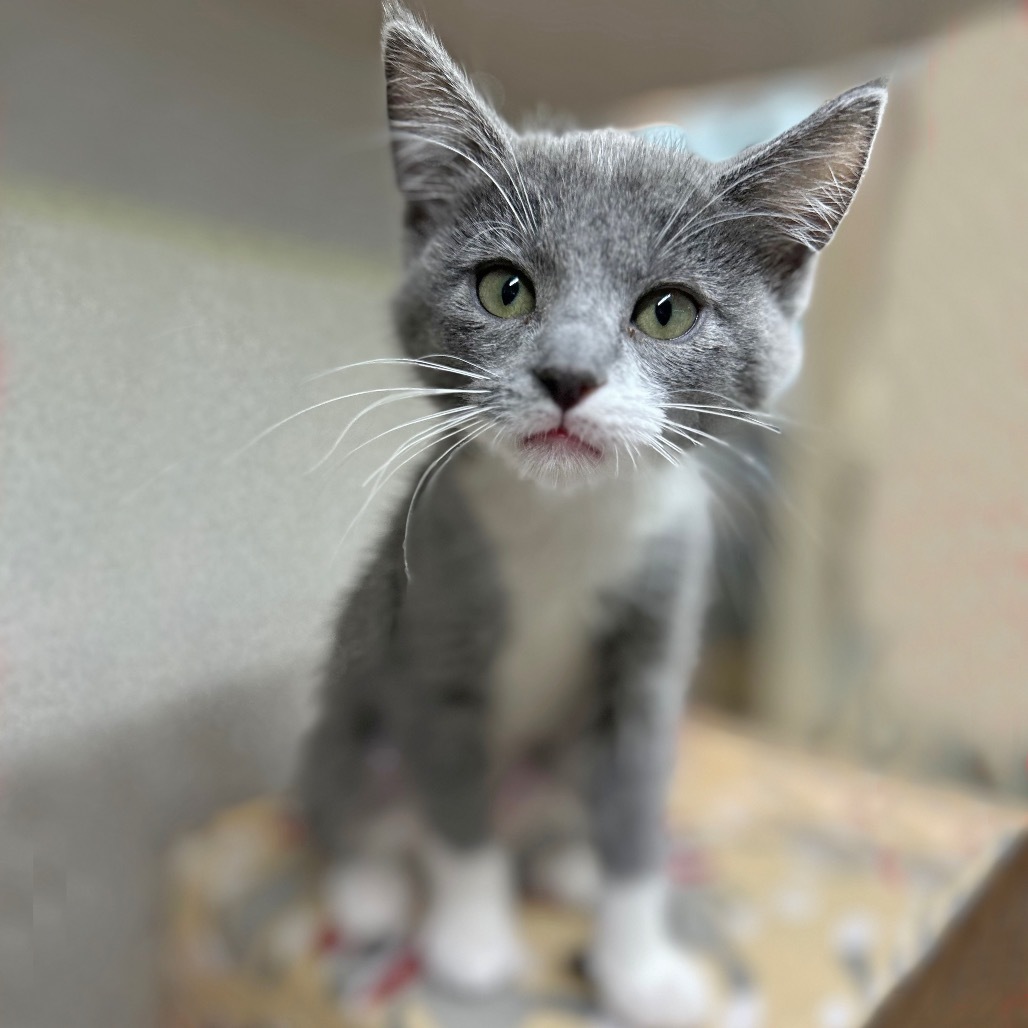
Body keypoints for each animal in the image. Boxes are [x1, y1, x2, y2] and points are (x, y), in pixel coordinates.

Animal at [296, 4, 884, 1023]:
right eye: (504, 288)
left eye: (667, 312)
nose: (567, 376)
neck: (569, 526)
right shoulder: (435, 628)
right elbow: (456, 810)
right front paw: (472, 943)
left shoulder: (656, 635)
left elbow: (638, 812)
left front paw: (638, 965)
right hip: (345, 710)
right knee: (354, 802)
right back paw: (371, 887)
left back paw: (566, 862)